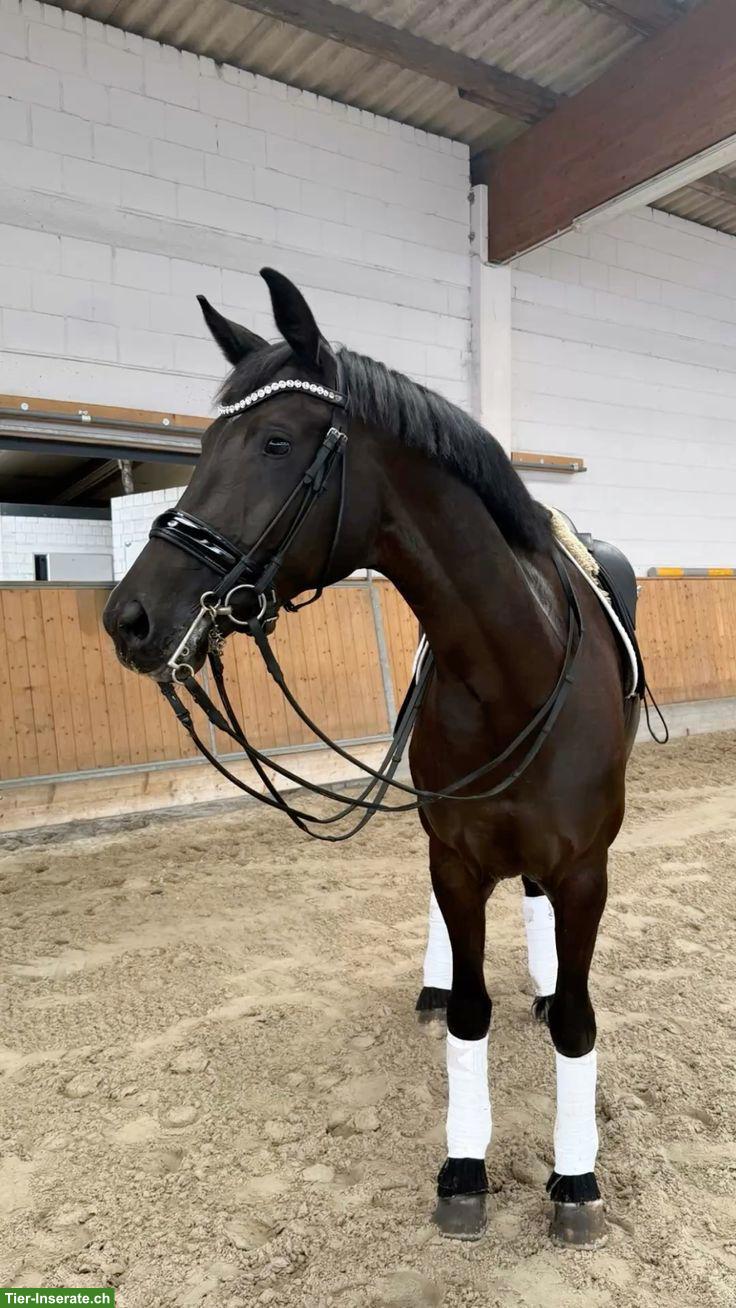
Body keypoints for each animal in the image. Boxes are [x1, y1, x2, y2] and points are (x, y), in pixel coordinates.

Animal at [103, 267, 641, 1247]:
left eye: (276, 441)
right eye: (204, 445)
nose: (131, 619)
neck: (513, 666)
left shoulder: (586, 867)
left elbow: (580, 1024)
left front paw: (576, 1178)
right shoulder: (455, 856)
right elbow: (469, 1009)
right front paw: (464, 1166)